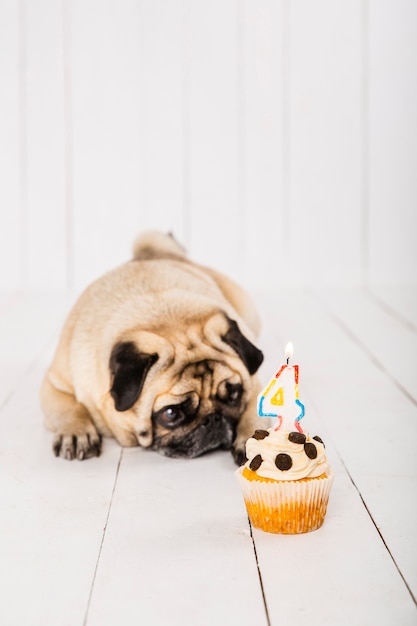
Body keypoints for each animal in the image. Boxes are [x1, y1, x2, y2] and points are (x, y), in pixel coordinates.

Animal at [41, 232, 264, 460]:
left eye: (233, 396)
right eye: (170, 414)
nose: (213, 419)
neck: (165, 319)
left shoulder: (255, 384)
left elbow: (254, 411)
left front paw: (252, 439)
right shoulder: (55, 384)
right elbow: (70, 408)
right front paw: (76, 433)